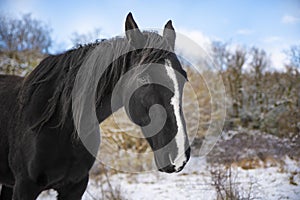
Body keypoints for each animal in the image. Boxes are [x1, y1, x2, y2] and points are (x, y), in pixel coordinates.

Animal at [0, 13, 191, 199]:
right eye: (143, 78)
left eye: (183, 78)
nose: (179, 155)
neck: (61, 126)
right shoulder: (25, 187)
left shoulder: (75, 187)